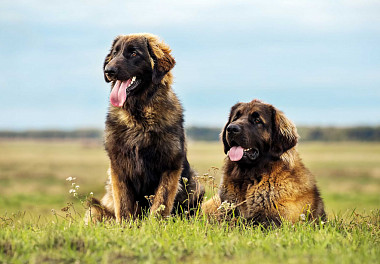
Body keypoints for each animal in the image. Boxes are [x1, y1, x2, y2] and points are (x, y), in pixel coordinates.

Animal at [87, 33, 205, 223]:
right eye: (115, 53)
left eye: (134, 53)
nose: (108, 71)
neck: (139, 118)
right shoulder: (118, 167)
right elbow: (124, 206)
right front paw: (125, 227)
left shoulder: (170, 166)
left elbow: (160, 203)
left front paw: (154, 225)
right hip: (95, 208)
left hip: (194, 185)